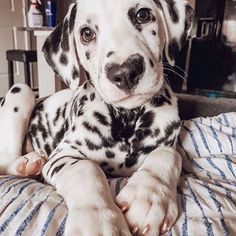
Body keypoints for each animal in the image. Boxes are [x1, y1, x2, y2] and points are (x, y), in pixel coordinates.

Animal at [0, 0, 193, 235]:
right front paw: (99, 219)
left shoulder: (168, 144)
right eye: (86, 33)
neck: (126, 119)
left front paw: (149, 194)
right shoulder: (62, 156)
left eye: (143, 14)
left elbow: (168, 154)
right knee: (5, 159)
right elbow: (86, 169)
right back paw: (26, 164)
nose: (125, 72)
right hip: (21, 90)